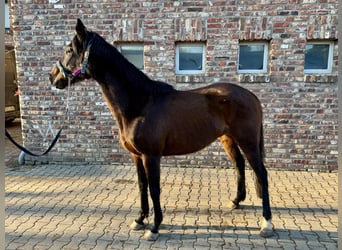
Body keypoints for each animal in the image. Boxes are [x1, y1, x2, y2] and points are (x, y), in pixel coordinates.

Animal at [48, 19, 272, 240]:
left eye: (69, 50)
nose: (52, 77)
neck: (141, 103)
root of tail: (252, 96)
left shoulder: (151, 156)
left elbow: (154, 188)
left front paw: (154, 227)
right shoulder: (137, 156)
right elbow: (142, 186)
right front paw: (139, 220)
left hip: (248, 142)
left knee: (262, 173)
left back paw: (266, 223)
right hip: (228, 138)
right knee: (239, 165)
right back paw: (236, 201)